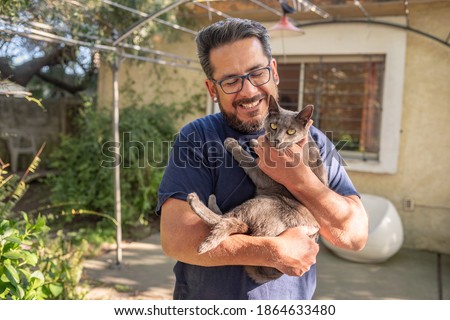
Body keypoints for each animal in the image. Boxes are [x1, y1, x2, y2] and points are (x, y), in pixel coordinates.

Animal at [186, 94, 326, 282]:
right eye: (273, 126)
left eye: (291, 131)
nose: (277, 140)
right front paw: (255, 141)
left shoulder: (265, 176)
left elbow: (248, 160)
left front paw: (233, 143)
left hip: (265, 203)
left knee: (227, 220)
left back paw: (195, 201)